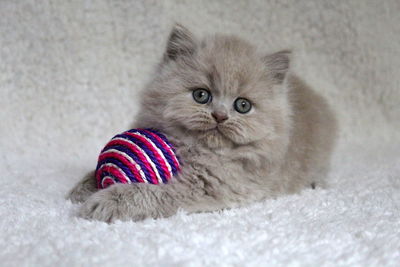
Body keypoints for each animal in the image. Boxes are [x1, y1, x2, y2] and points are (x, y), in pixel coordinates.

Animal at [67, 24, 336, 223]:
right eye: (201, 95)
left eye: (243, 105)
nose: (220, 116)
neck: (198, 149)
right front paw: (82, 188)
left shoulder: (209, 186)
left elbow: (152, 192)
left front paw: (106, 201)